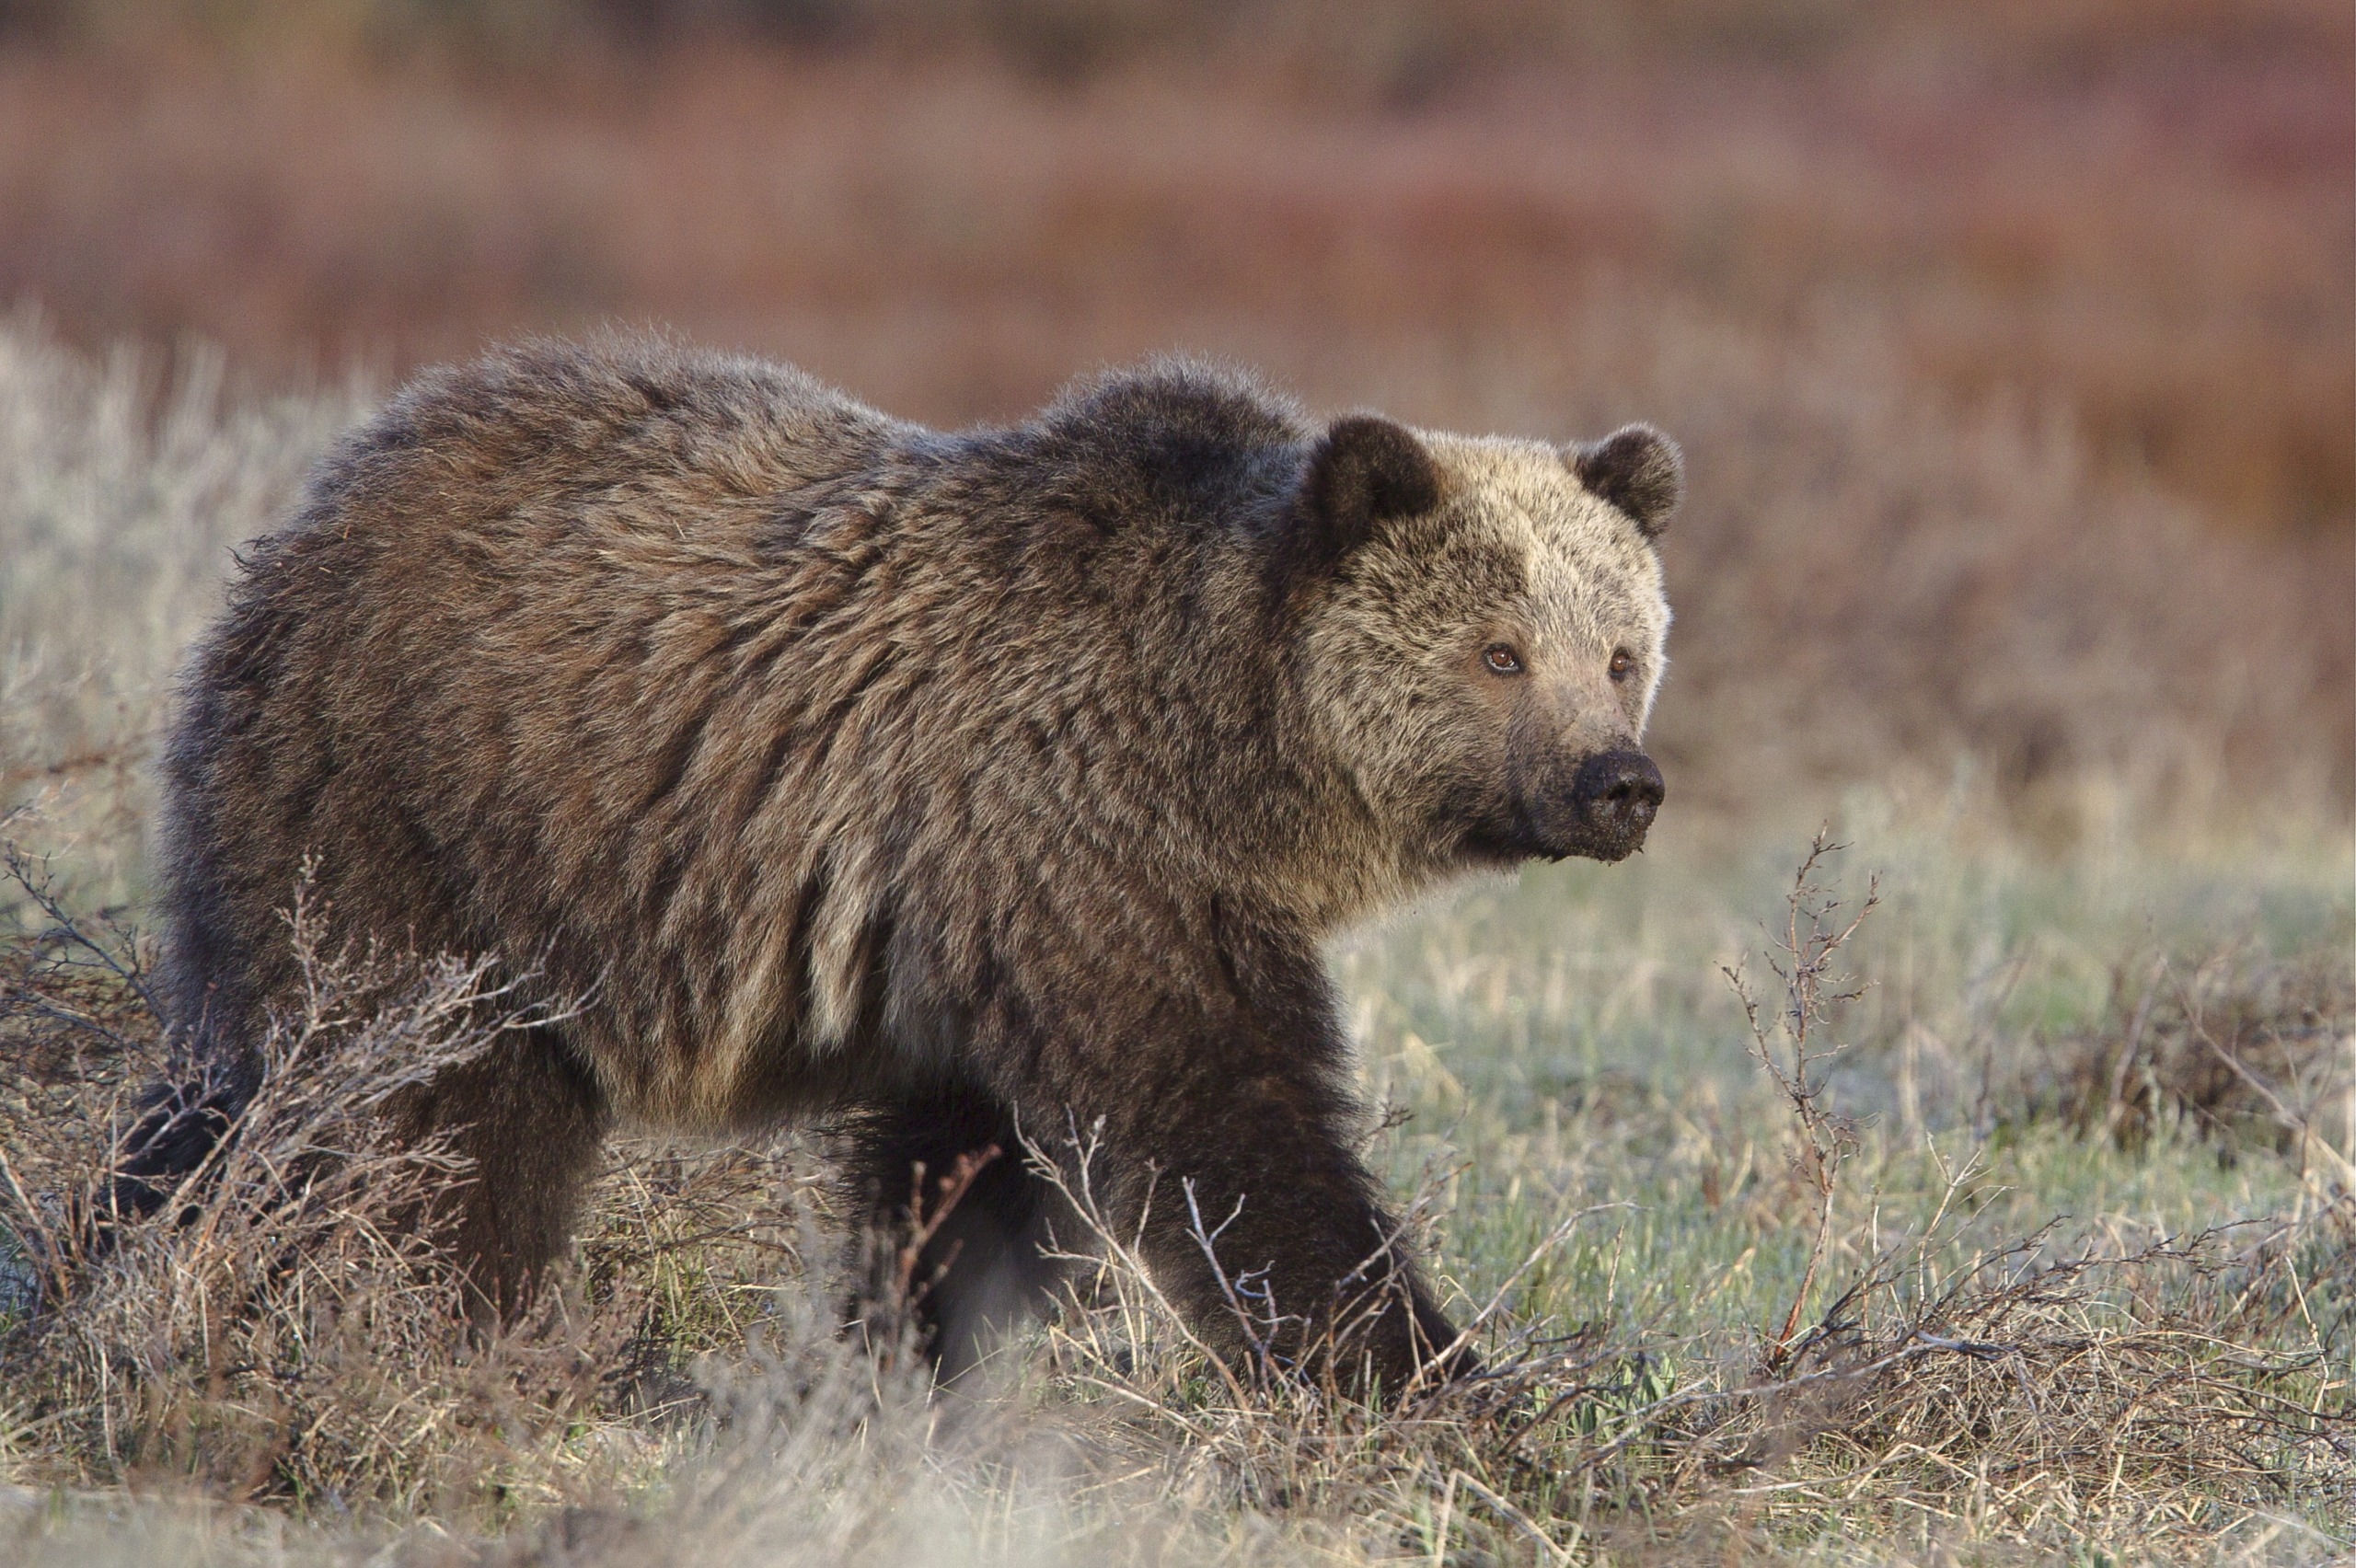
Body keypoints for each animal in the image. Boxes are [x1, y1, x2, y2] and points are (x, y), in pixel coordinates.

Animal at [129, 336, 1677, 1384]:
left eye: (1619, 651)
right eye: (1499, 651)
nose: (1621, 785)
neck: (1222, 743)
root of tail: (334, 487)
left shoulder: (990, 934)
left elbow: (957, 1188)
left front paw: (916, 1369)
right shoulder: (1075, 847)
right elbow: (1224, 1128)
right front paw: (1426, 1376)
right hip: (419, 818)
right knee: (408, 1108)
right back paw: (410, 1323)